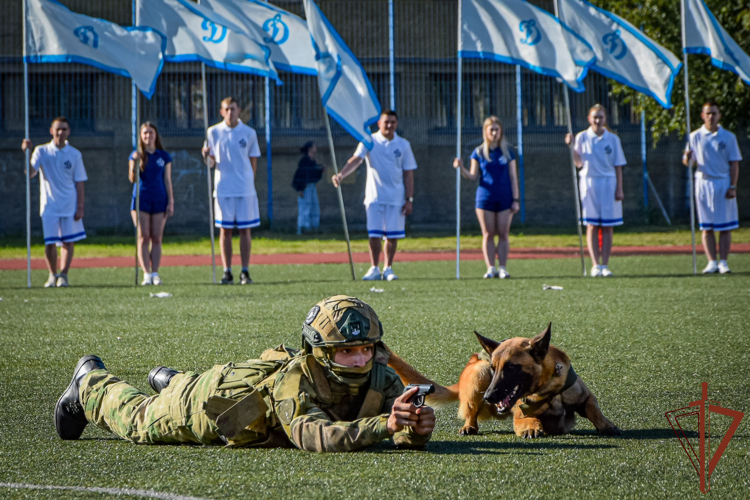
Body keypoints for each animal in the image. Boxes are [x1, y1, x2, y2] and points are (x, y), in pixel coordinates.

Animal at [388, 324, 624, 438]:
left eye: (510, 367)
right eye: (495, 368)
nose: (489, 397)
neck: (547, 389)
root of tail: (474, 359)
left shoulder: (585, 397)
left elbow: (594, 409)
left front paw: (607, 425)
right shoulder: (519, 415)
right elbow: (530, 419)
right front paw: (533, 427)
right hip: (479, 374)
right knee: (471, 413)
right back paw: (469, 426)